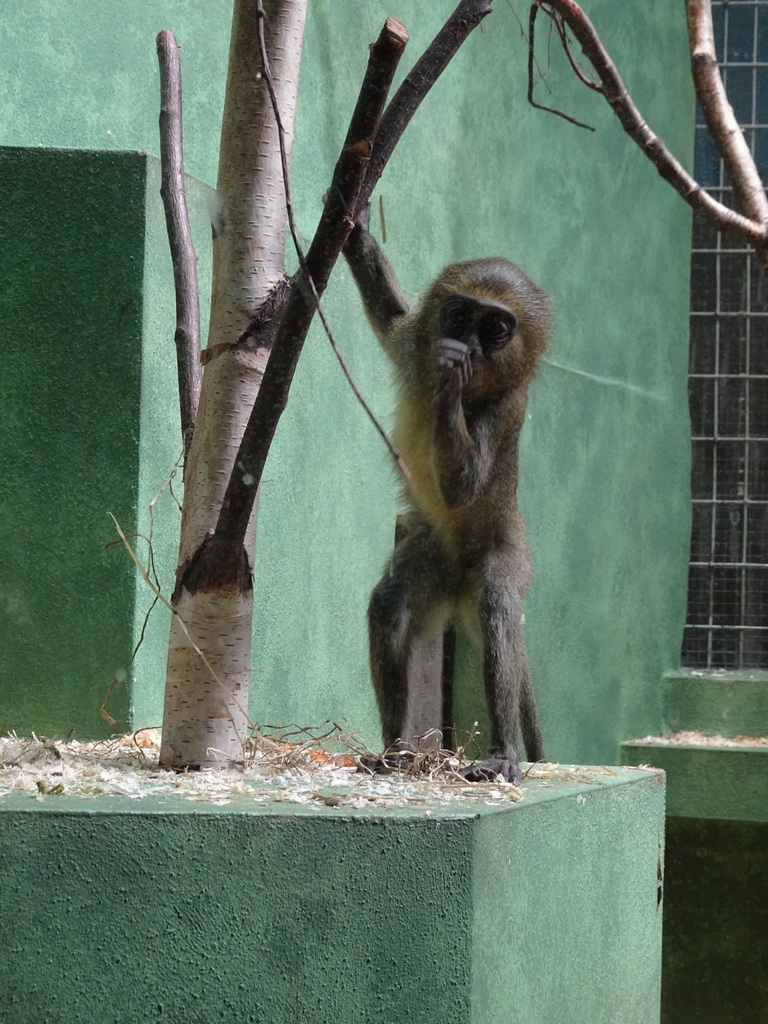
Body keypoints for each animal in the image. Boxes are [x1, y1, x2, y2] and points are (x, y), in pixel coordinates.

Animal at [344, 209, 552, 782]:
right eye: (459, 315)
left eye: (495, 328)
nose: (469, 349)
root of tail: (460, 579)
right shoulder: (413, 347)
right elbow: (391, 315)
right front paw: (352, 221)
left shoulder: (503, 410)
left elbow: (462, 490)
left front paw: (451, 386)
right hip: (432, 557)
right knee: (389, 606)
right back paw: (397, 749)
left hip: (504, 551)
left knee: (497, 609)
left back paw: (503, 751)